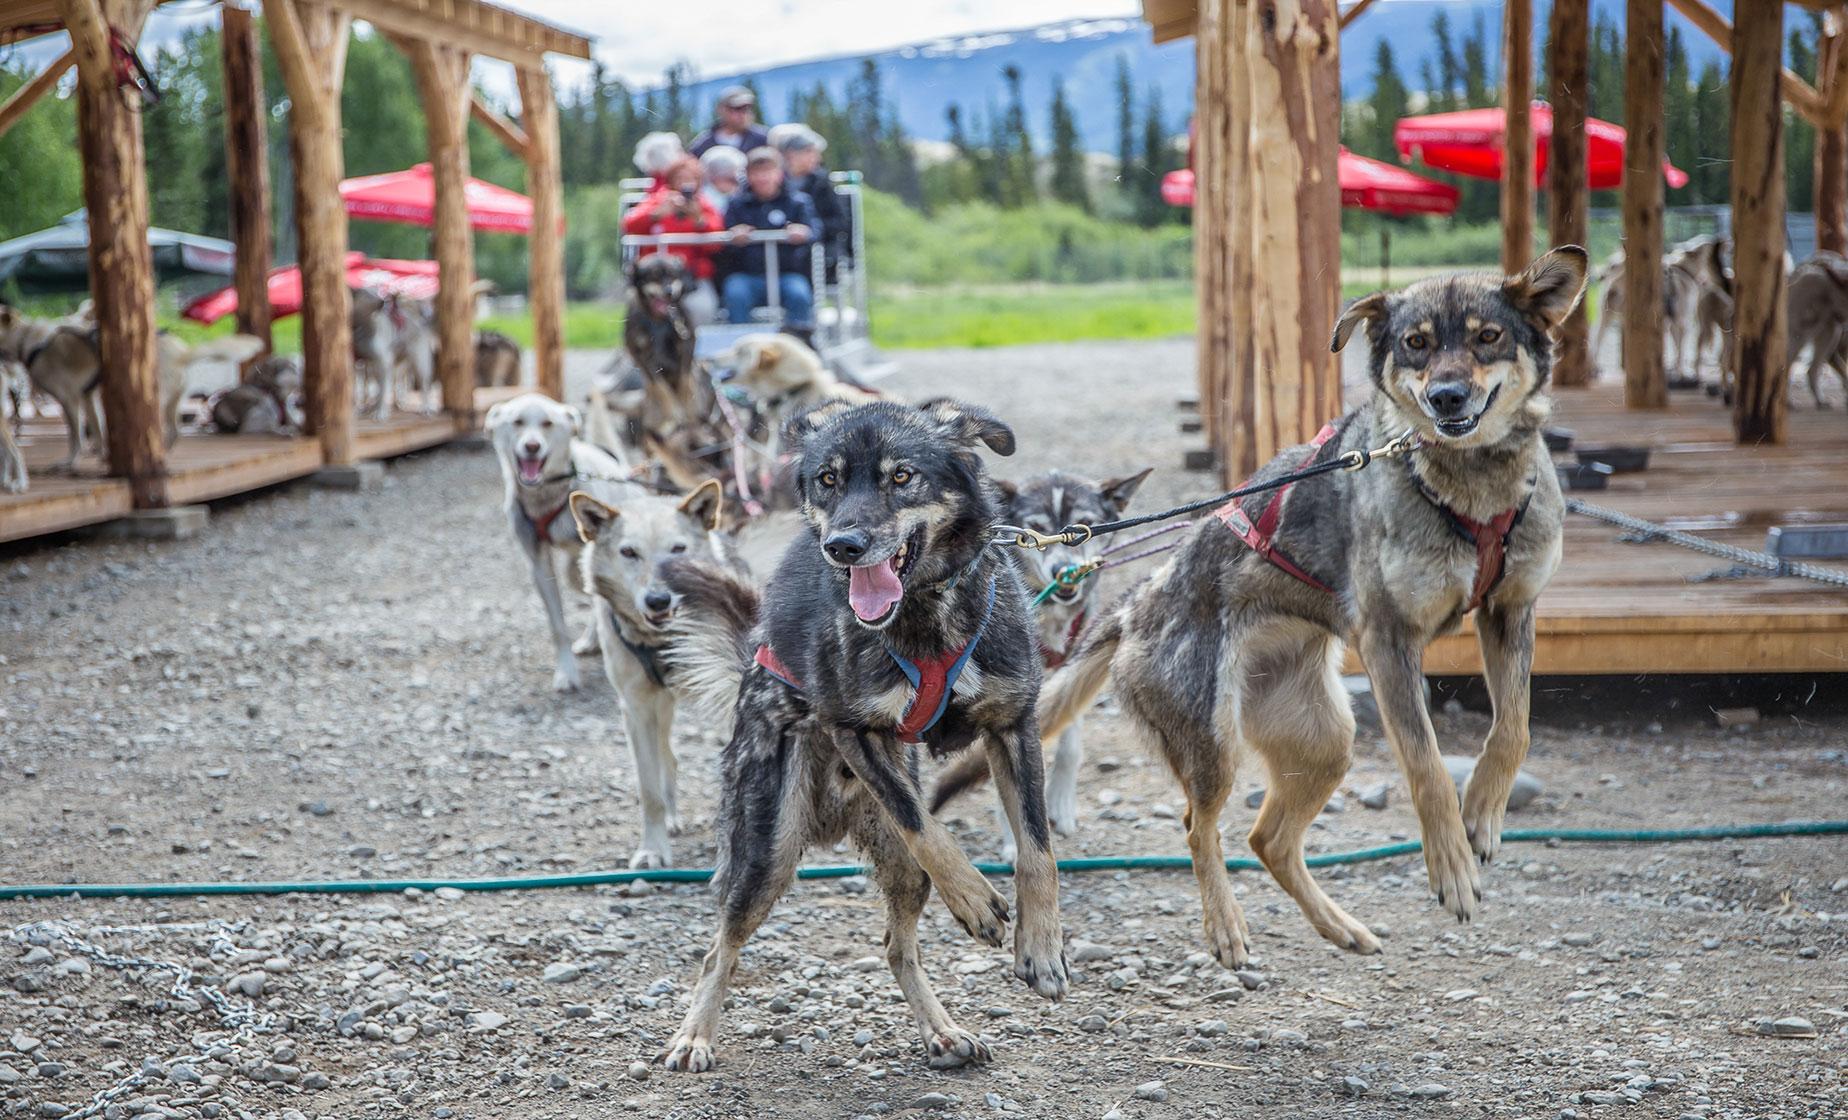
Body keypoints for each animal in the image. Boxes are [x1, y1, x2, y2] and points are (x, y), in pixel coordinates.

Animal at [661, 399, 1071, 1071]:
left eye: (901, 476)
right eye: (828, 480)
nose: (843, 546)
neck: (924, 613)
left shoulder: (1014, 725)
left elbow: (1037, 848)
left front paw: (1040, 946)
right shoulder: (851, 727)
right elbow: (923, 824)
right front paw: (974, 898)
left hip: (898, 870)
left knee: (896, 946)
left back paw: (942, 1030)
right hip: (765, 850)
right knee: (719, 946)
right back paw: (694, 1034)